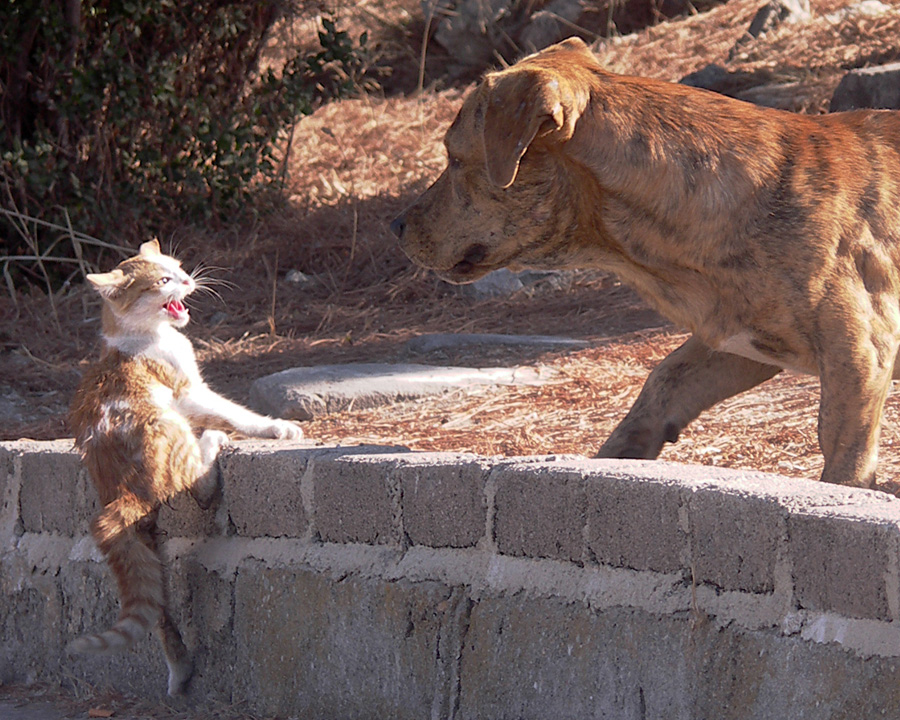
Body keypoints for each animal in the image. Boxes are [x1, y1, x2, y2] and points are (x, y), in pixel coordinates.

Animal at [67, 239, 304, 696]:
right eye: (163, 280)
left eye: (177, 267)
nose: (189, 280)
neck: (144, 335)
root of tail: (118, 494)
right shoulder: (190, 391)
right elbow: (234, 412)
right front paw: (274, 426)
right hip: (166, 421)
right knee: (200, 482)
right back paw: (211, 441)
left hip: (146, 540)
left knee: (159, 611)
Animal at [392, 36, 900, 492]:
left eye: (454, 158)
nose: (396, 226)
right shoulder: (735, 340)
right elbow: (663, 380)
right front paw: (621, 454)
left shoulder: (860, 356)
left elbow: (844, 458)